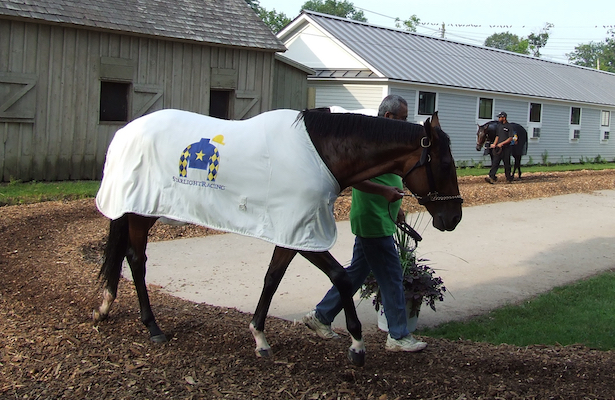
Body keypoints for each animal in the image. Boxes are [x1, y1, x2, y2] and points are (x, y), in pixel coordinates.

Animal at [94, 108, 464, 368]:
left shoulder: (292, 233)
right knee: (137, 260)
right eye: (445, 164)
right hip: (140, 211)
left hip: (139, 210)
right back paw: (152, 327)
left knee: (126, 256)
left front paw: (259, 337)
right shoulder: (304, 232)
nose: (453, 218)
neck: (322, 153)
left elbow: (272, 278)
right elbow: (341, 277)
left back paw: (106, 306)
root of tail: (126, 131)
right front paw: (357, 346)